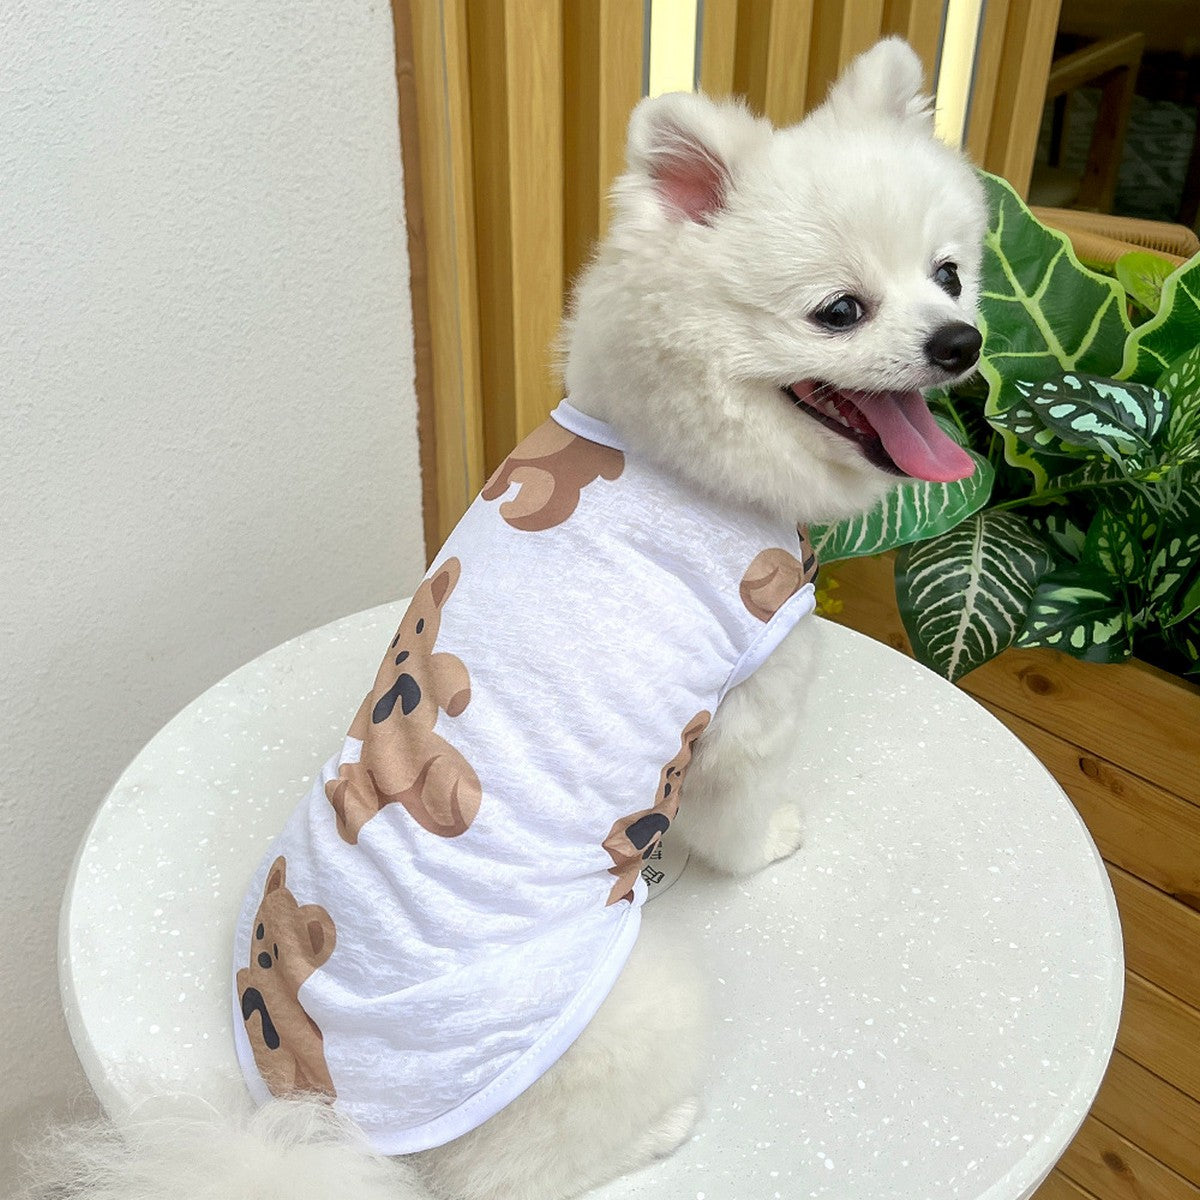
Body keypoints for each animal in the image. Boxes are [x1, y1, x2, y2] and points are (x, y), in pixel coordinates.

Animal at [325, 556, 481, 842]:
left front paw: (458, 703)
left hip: (439, 762)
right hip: (369, 774)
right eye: (396, 639)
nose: (401, 656)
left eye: (421, 625)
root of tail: (397, 795)